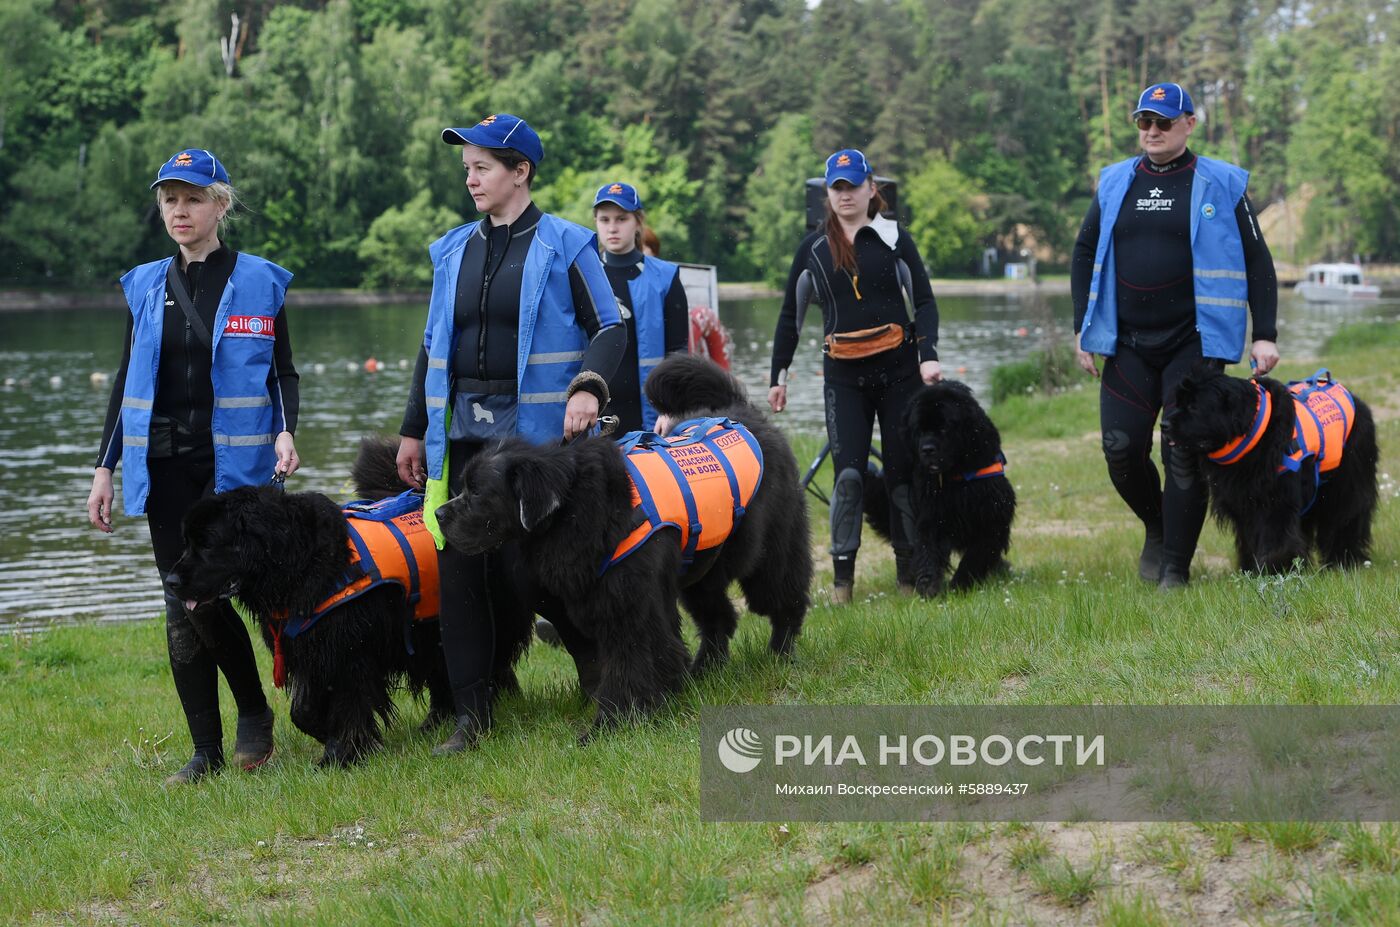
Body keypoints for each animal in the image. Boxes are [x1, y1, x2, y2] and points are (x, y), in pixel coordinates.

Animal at [166, 442, 520, 767]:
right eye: (187, 542)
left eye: (208, 544)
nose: (170, 581)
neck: (301, 562)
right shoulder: (309, 644)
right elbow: (302, 709)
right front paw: (326, 732)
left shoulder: (349, 649)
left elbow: (348, 702)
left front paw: (341, 753)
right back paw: (437, 719)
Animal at [434, 354, 812, 733]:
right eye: (464, 485)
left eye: (477, 492)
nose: (438, 513)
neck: (577, 507)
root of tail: (737, 411)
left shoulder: (629, 605)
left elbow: (630, 663)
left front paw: (610, 722)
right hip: (703, 568)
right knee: (719, 617)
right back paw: (705, 669)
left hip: (772, 550)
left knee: (784, 598)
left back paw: (780, 653)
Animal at [868, 380, 1013, 599]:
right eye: (919, 430)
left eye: (944, 428)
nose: (927, 449)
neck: (956, 475)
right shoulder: (933, 512)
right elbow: (928, 548)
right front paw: (928, 586)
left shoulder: (992, 517)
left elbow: (976, 555)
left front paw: (960, 584)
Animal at [1159, 364, 1377, 574]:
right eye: (1178, 403)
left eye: (1193, 406)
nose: (1163, 424)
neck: (1254, 436)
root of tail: (1356, 399)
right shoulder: (1243, 501)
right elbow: (1250, 538)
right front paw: (1251, 569)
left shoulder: (1276, 499)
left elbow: (1277, 537)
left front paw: (1274, 569)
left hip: (1347, 482)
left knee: (1345, 517)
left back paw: (1343, 560)